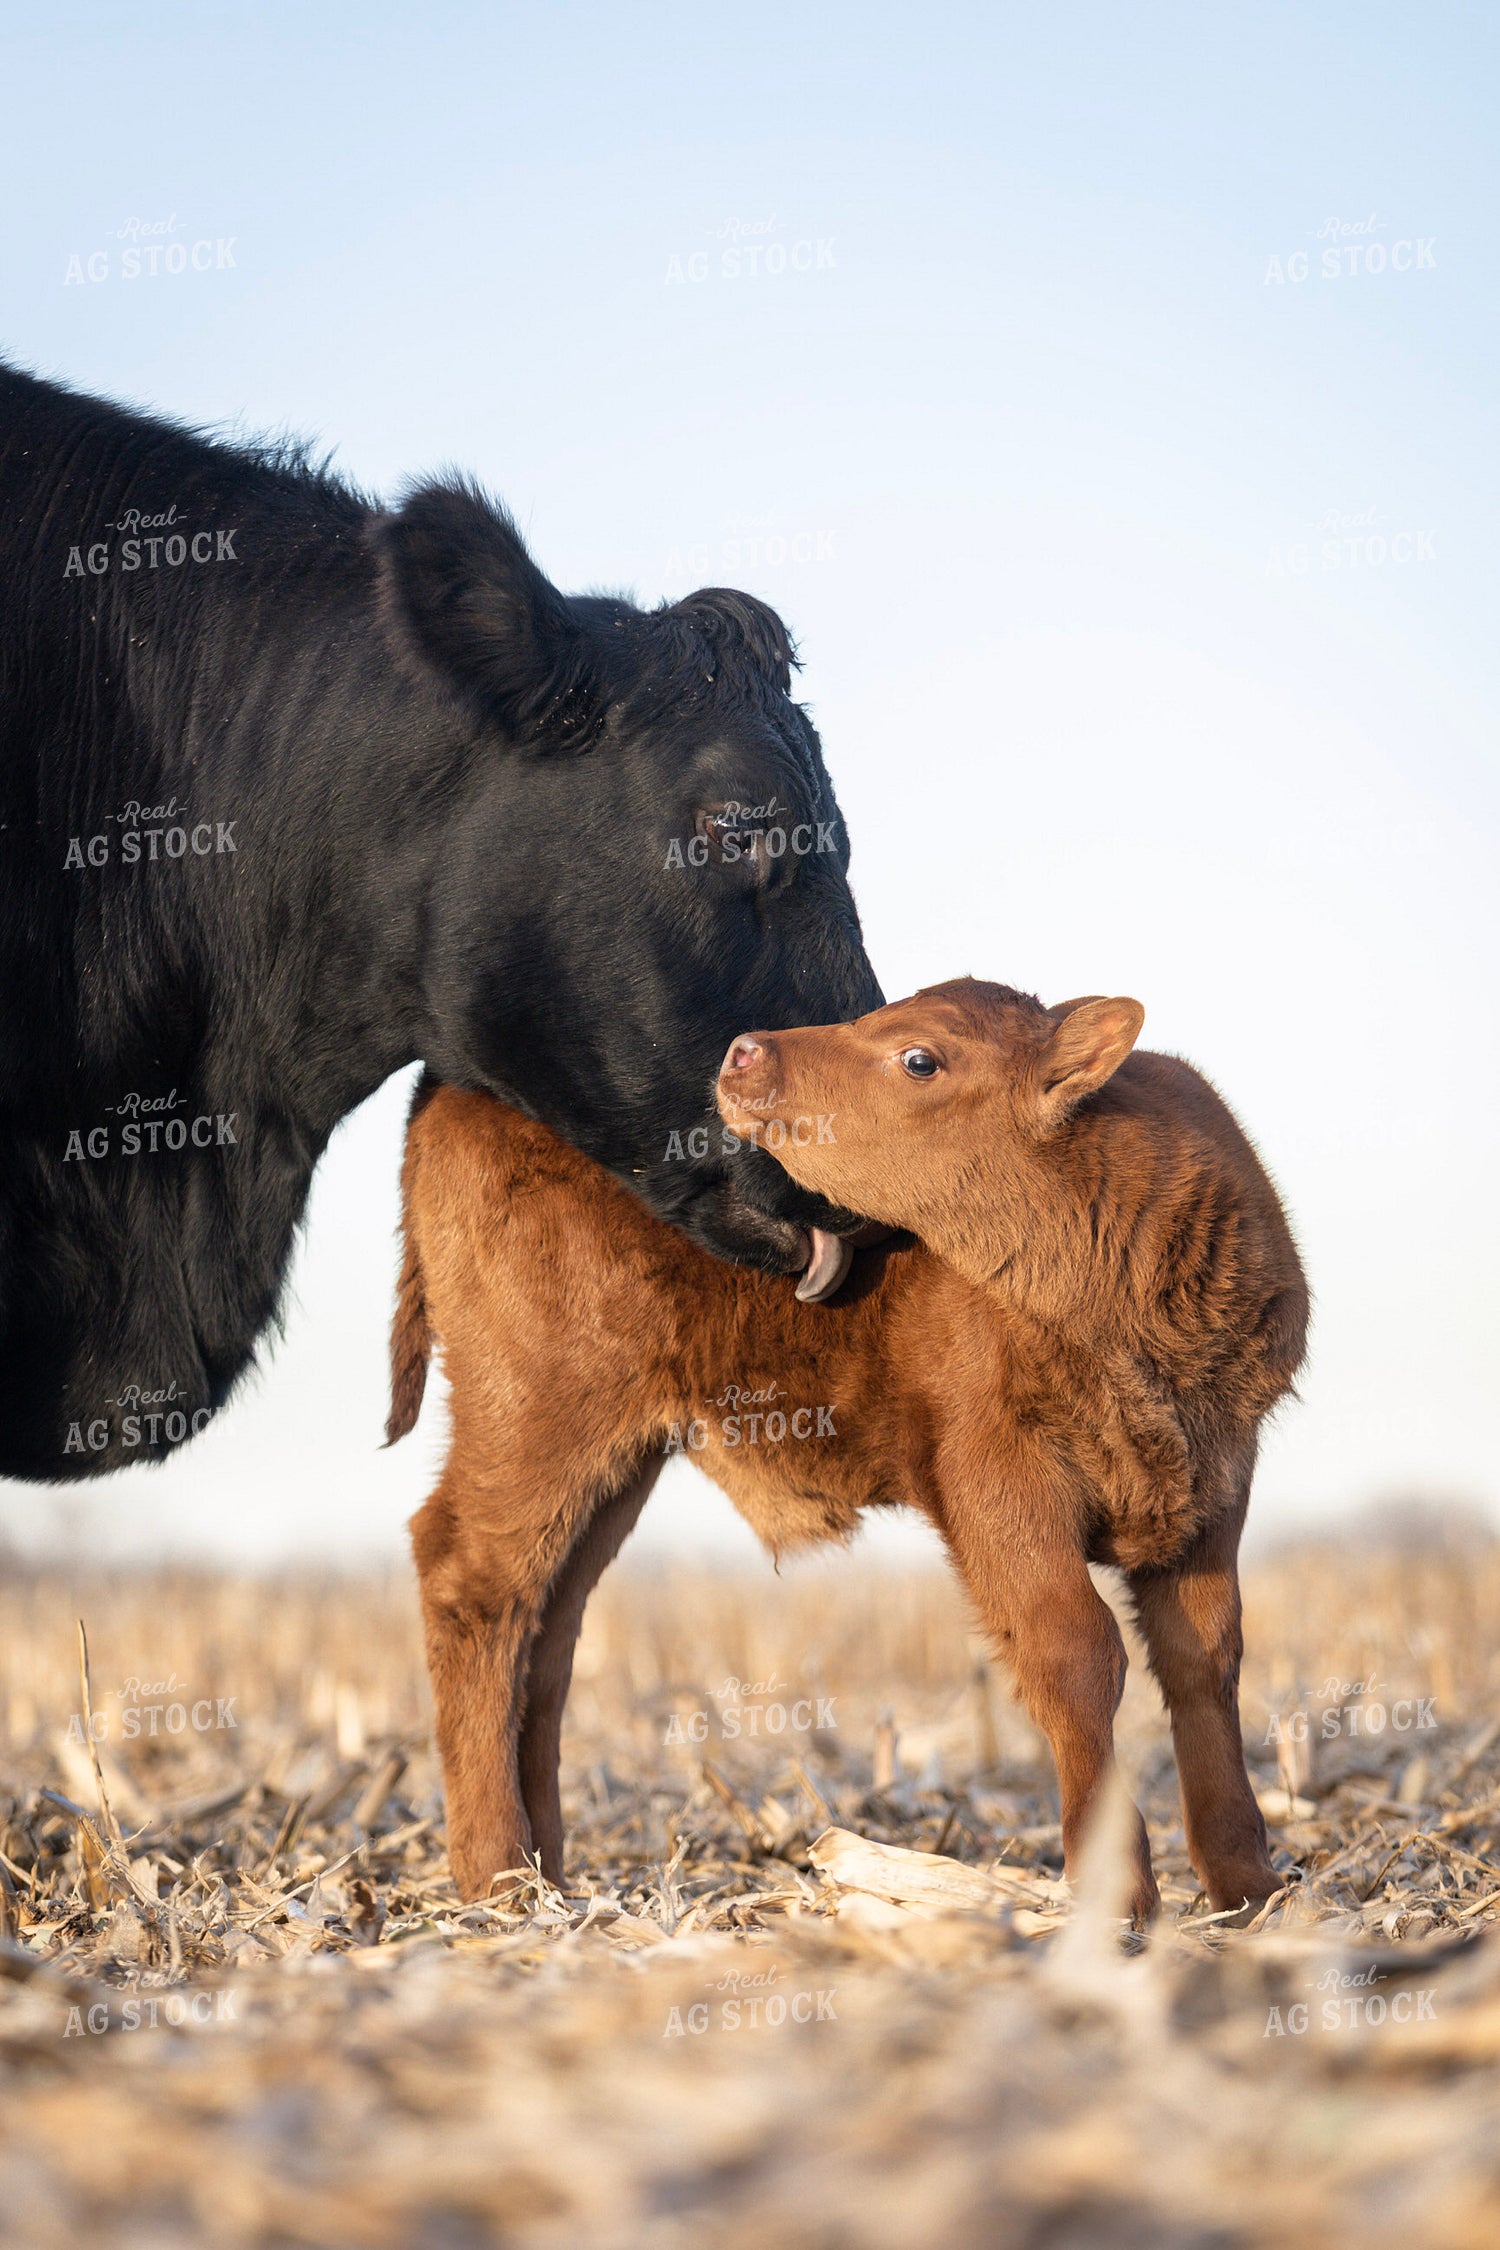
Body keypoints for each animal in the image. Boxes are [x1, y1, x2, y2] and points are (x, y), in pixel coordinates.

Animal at [387, 980, 1309, 1924]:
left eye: (919, 1056)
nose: (743, 1050)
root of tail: (451, 1087)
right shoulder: (997, 1482)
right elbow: (1078, 1654)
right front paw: (1117, 1894)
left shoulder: (1214, 1488)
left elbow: (1206, 1659)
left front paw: (1250, 1886)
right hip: (533, 1414)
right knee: (470, 1578)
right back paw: (496, 1876)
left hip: (611, 1464)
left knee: (548, 1627)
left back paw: (548, 1875)